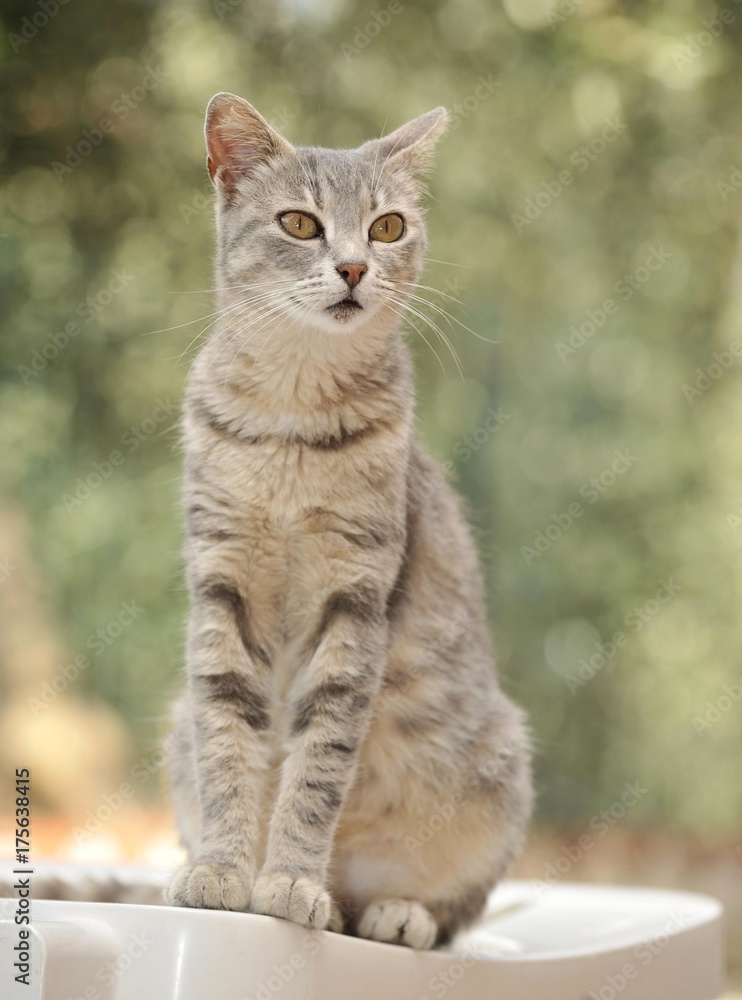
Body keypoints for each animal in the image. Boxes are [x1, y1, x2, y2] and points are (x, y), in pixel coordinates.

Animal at [164, 92, 536, 944]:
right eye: (300, 223)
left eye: (388, 226)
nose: (354, 267)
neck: (291, 423)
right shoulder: (221, 585)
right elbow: (228, 746)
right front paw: (225, 870)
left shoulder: (356, 601)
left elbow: (318, 767)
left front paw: (290, 879)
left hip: (501, 768)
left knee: (450, 907)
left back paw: (386, 910)